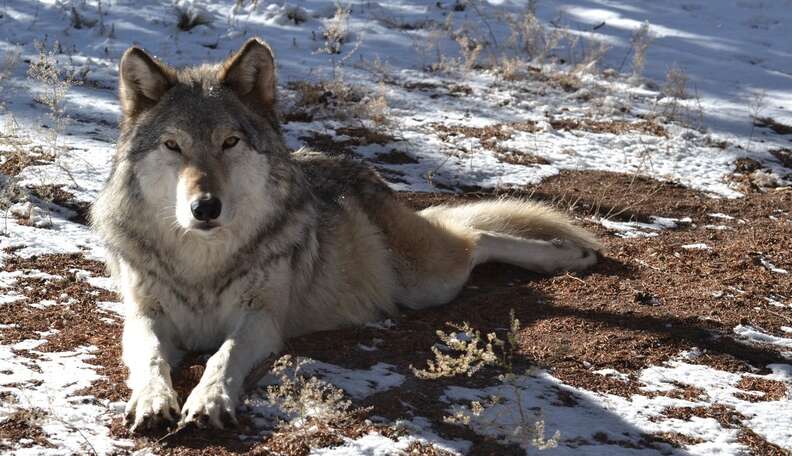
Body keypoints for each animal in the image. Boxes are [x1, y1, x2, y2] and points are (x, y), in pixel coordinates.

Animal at [89, 38, 600, 432]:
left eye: (229, 142)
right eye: (173, 145)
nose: (205, 208)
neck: (202, 262)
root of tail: (359, 170)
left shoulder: (260, 319)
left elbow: (223, 358)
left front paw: (209, 400)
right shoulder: (144, 316)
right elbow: (151, 358)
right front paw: (154, 401)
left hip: (427, 281)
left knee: (477, 237)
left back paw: (567, 255)